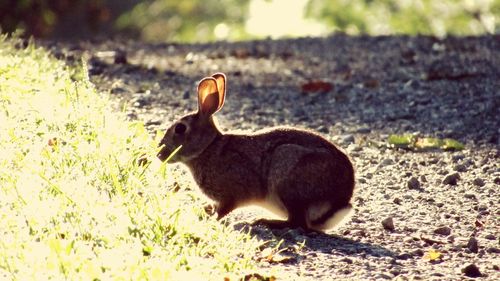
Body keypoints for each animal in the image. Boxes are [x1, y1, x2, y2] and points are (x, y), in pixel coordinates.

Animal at [157, 72, 356, 232]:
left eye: (180, 129)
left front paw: (211, 219)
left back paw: (266, 222)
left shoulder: (233, 193)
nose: (159, 154)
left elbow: (224, 209)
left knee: (297, 222)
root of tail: (337, 202)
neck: (209, 147)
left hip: (287, 173)